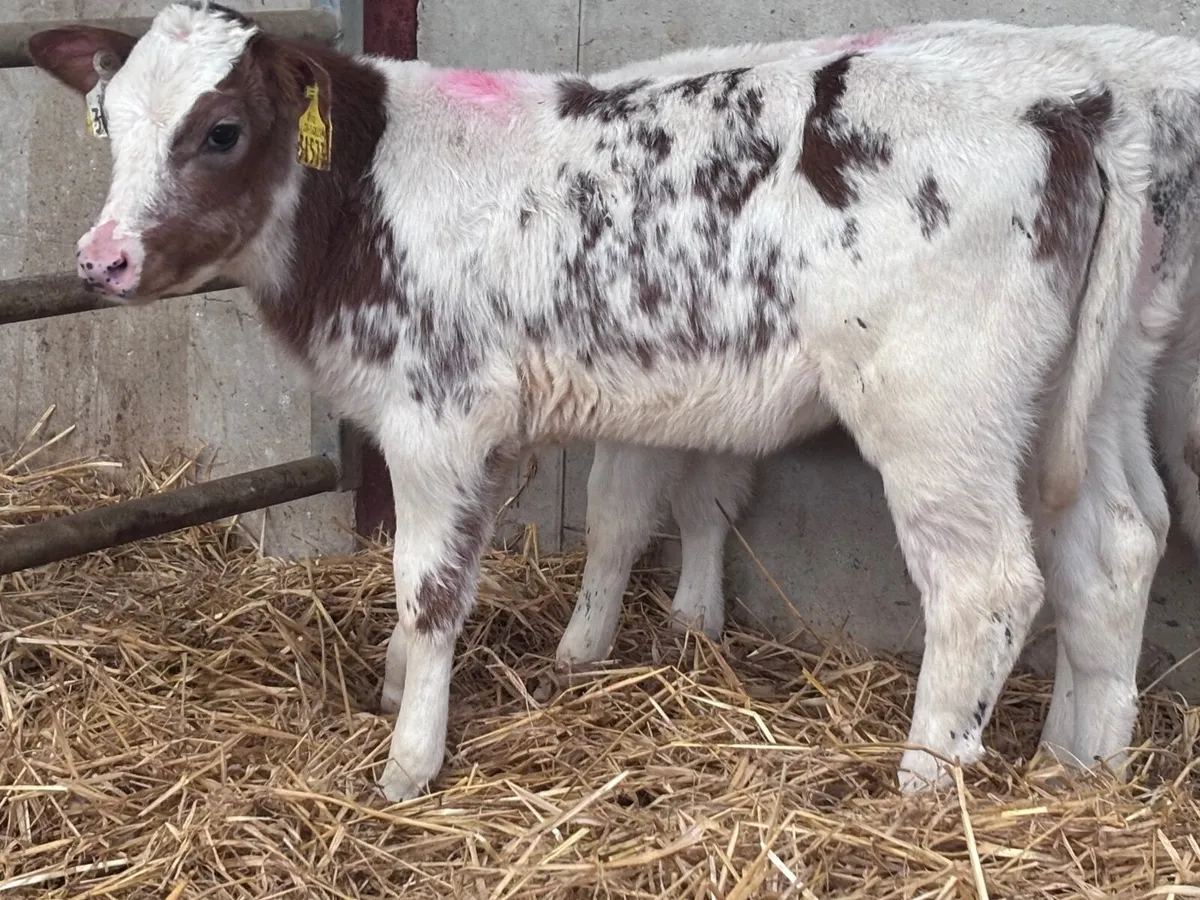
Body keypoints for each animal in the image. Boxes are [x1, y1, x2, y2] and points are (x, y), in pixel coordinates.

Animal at [28, 3, 1181, 802]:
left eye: (221, 130)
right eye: (109, 122)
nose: (101, 259)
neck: (365, 196)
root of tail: (1077, 101)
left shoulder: (436, 413)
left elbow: (430, 584)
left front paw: (409, 761)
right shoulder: (491, 428)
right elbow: (502, 550)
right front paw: (403, 684)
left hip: (939, 407)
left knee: (987, 585)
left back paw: (925, 786)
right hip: (1100, 384)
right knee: (1117, 543)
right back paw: (1083, 768)